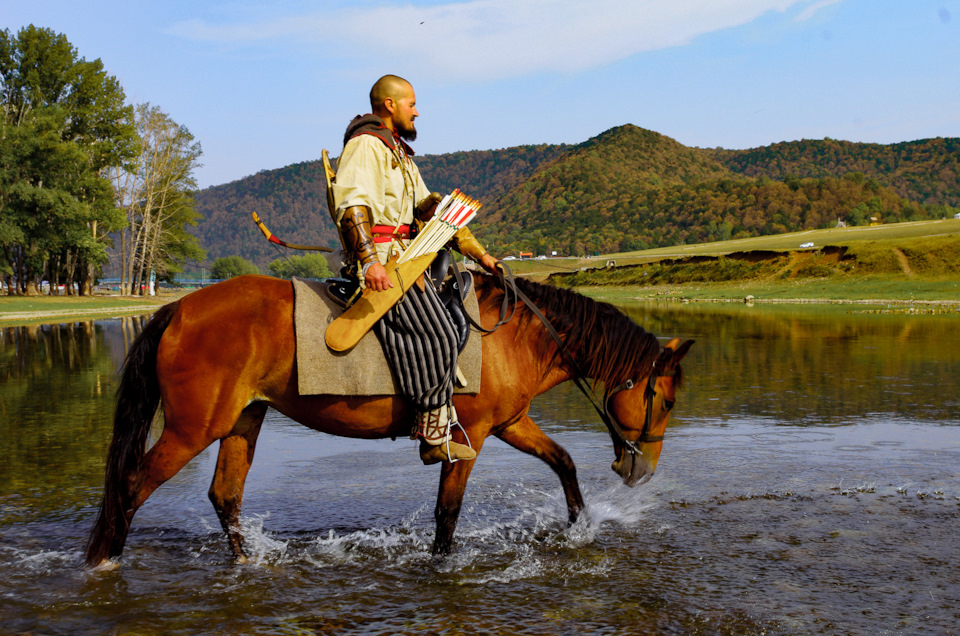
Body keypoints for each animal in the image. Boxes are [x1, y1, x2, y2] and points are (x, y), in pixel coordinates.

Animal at [84, 274, 688, 568]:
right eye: (666, 401)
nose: (644, 472)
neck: (515, 335)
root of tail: (179, 308)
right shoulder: (470, 438)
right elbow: (447, 513)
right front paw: (440, 566)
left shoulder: (511, 423)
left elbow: (563, 463)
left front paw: (580, 526)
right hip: (192, 429)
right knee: (132, 487)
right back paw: (106, 564)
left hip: (242, 420)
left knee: (224, 495)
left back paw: (248, 564)